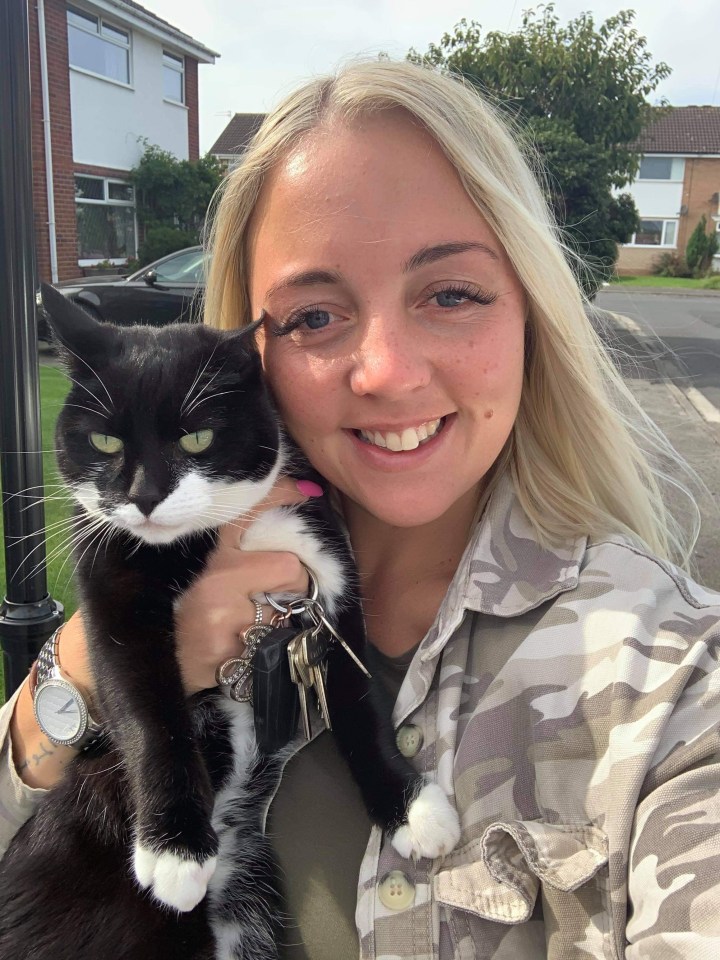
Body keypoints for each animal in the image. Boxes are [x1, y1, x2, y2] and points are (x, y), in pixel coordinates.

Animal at [0, 286, 462, 960]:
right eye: (105, 443)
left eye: (198, 439)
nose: (144, 495)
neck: (226, 528)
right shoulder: (112, 584)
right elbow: (147, 709)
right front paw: (173, 851)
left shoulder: (326, 568)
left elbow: (360, 699)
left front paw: (410, 809)